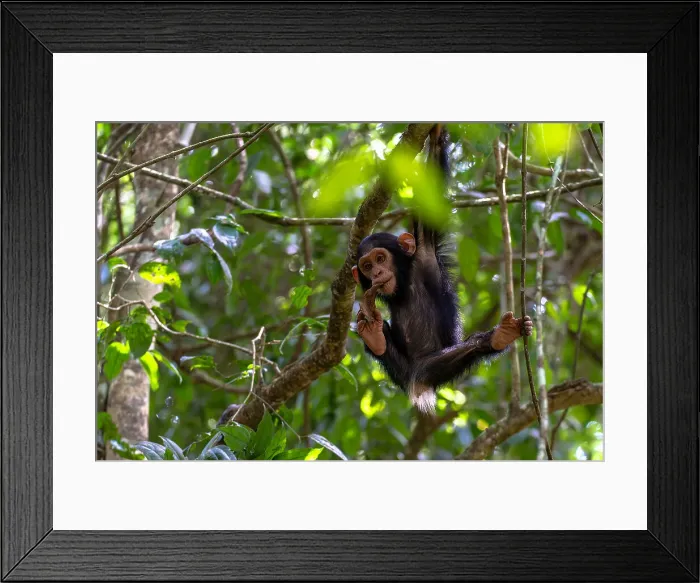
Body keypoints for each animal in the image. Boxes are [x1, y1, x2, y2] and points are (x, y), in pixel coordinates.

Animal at [352, 125, 533, 414]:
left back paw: (498, 337)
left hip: (429, 370)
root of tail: (419, 385)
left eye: (380, 258)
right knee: (398, 364)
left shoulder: (425, 250)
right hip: (405, 374)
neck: (404, 281)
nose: (377, 273)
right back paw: (375, 336)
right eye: (367, 266)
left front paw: (436, 134)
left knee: (447, 359)